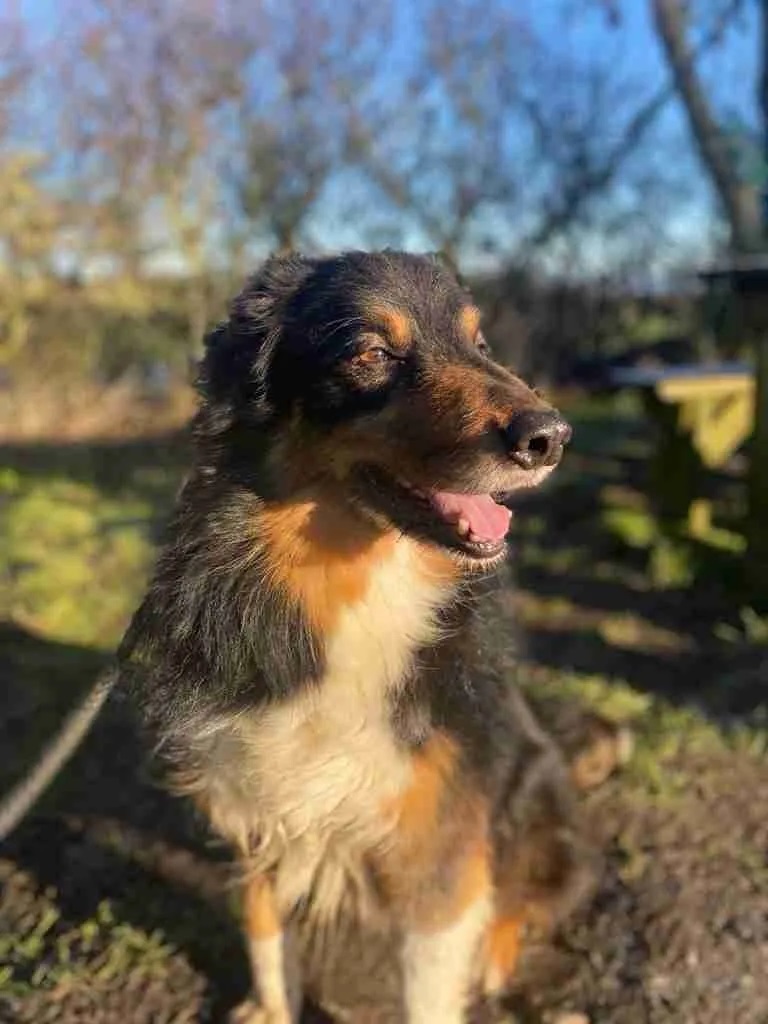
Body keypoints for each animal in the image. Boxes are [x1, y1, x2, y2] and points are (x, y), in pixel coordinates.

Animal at [118, 249, 602, 1024]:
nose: (550, 438)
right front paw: (271, 1008)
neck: (356, 585)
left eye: (480, 344)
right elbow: (266, 940)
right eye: (371, 354)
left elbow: (434, 982)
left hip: (538, 801)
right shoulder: (254, 806)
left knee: (523, 901)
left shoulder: (442, 844)